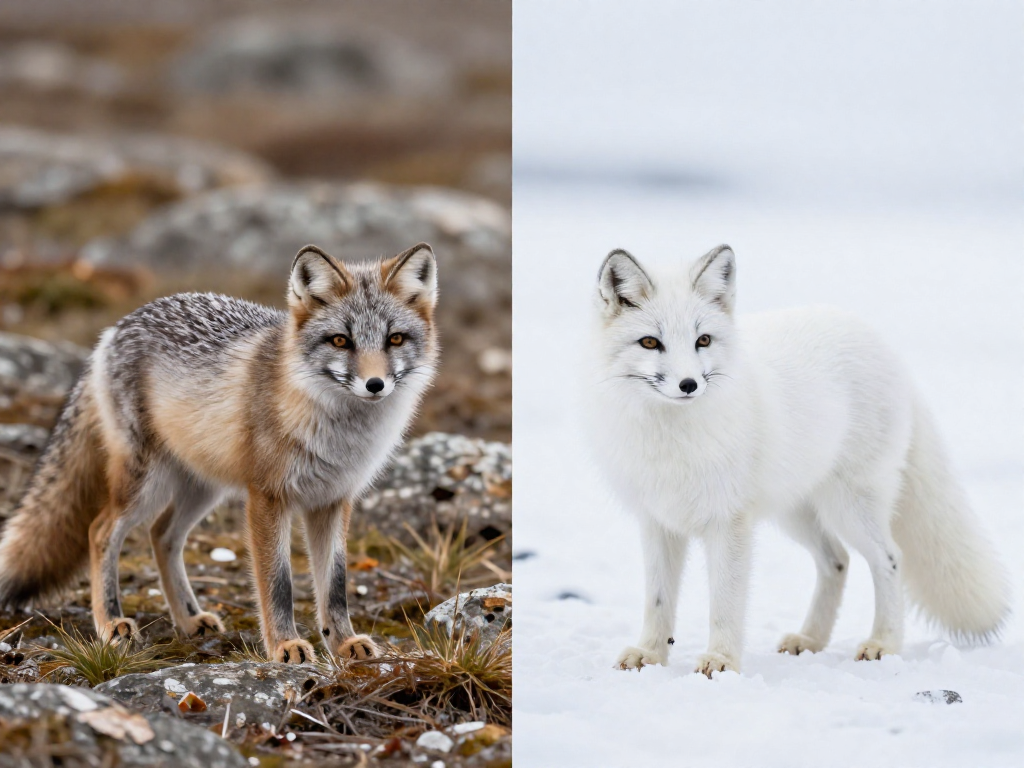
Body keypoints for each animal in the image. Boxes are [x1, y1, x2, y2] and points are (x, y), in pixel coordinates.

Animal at [0, 243, 439, 664]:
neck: (341, 436)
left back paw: (189, 619)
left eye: (395, 339)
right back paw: (110, 622)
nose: (375, 384)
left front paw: (343, 643)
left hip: (202, 488)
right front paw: (284, 647)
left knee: (162, 534)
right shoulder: (267, 497)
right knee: (100, 530)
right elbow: (277, 584)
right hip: (146, 485)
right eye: (341, 340)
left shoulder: (333, 500)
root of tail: (115, 328)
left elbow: (335, 585)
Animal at [588, 244, 1010, 677]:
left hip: (849, 507)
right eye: (650, 342)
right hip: (797, 513)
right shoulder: (658, 522)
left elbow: (725, 603)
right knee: (837, 561)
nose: (689, 385)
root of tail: (885, 349)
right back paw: (810, 640)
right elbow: (658, 600)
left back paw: (883, 643)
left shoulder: (728, 522)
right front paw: (650, 655)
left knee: (890, 558)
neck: (672, 438)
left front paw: (721, 661)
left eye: (702, 339)